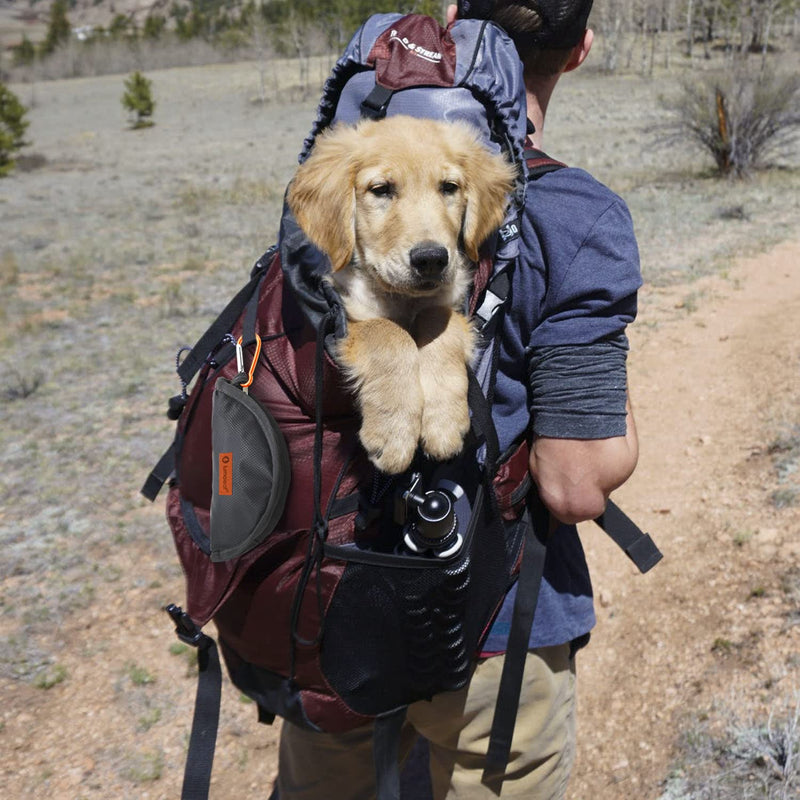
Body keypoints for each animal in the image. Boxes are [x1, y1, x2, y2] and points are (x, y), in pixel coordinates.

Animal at [286, 114, 512, 476]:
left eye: (449, 187)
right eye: (381, 190)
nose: (431, 259)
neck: (404, 299)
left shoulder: (449, 302)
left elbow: (438, 323)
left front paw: (443, 421)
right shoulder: (347, 315)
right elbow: (389, 333)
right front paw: (394, 432)